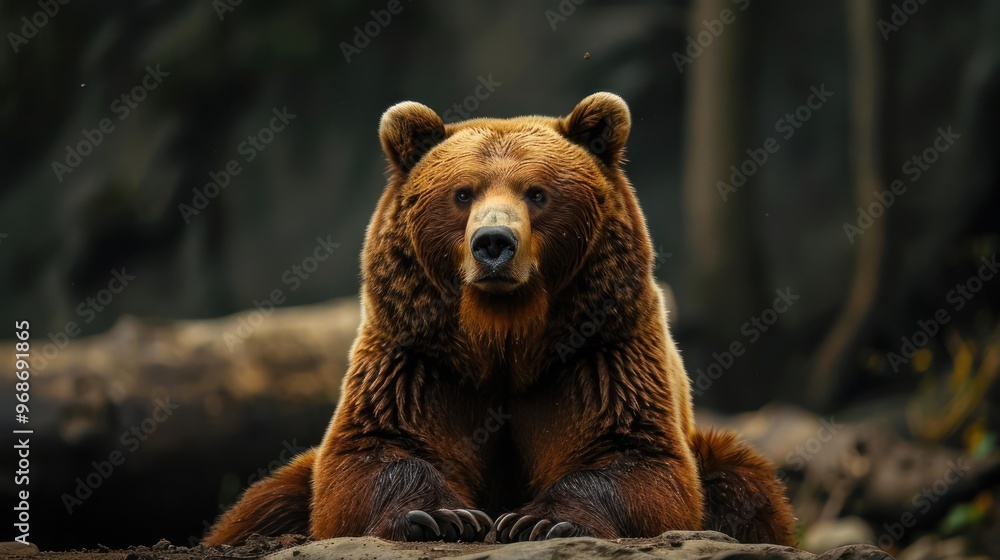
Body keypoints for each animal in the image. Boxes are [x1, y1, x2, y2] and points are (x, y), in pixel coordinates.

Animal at [203, 92, 796, 546]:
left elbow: (636, 458)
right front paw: (443, 516)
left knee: (744, 485)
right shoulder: (418, 357)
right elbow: (372, 452)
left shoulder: (599, 351)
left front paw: (539, 521)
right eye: (462, 193)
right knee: (263, 505)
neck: (504, 337)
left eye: (537, 193)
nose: (493, 243)